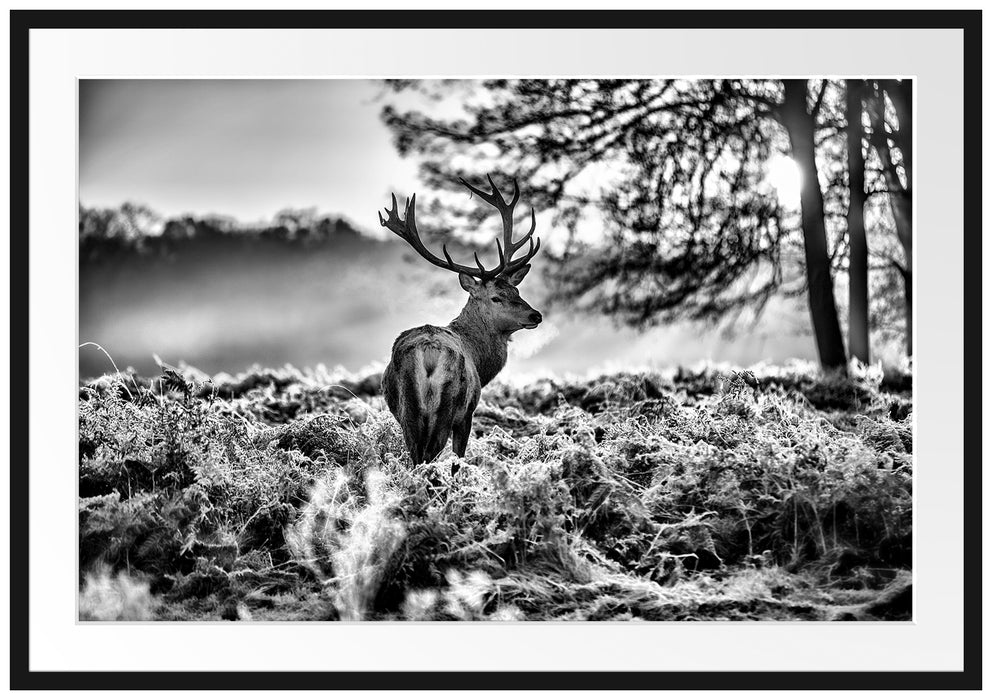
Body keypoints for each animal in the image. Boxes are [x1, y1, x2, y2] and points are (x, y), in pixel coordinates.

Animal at [379, 176, 543, 465]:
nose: (536, 315)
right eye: (496, 297)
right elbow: (460, 453)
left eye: (516, 291)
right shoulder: (468, 413)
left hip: (407, 409)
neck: (480, 359)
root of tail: (429, 353)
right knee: (431, 455)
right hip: (449, 406)